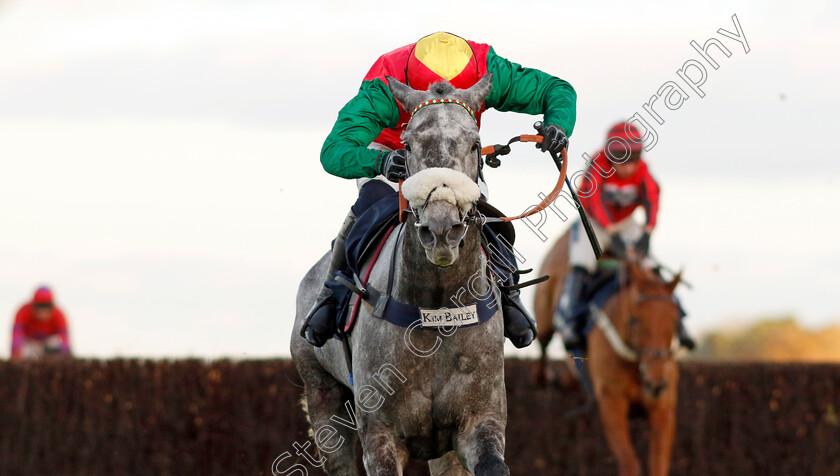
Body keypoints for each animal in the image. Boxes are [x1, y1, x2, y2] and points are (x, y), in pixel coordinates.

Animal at [292, 72, 508, 474]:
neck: (437, 309)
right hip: (320, 391)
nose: (441, 228)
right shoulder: (380, 436)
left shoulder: (480, 421)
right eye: (407, 145)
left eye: (475, 144)